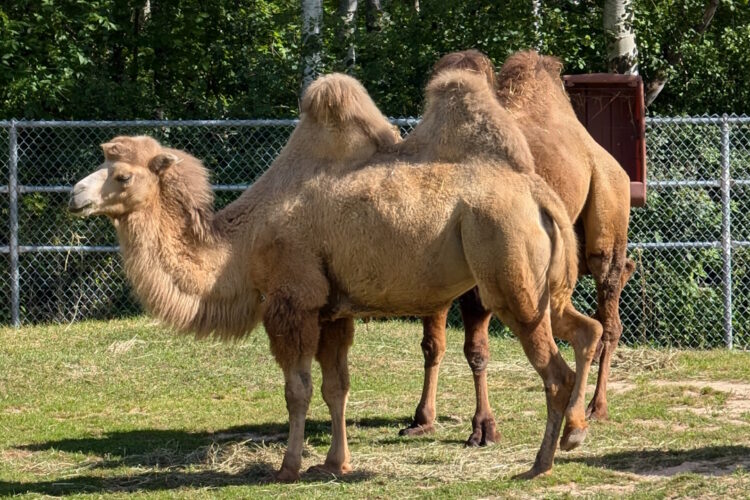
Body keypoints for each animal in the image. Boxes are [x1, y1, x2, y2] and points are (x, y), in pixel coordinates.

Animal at [67, 70, 604, 480]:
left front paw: (288, 467)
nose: (75, 195)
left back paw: (539, 464)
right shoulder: (332, 309)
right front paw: (335, 464)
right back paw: (576, 432)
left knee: (554, 369)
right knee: (586, 328)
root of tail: (538, 194)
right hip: (545, 285)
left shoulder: (292, 302)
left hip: (507, 275)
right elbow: (336, 387)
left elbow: (298, 389)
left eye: (123, 175)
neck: (241, 244)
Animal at [402, 47, 636, 446]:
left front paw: (484, 428)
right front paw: (422, 419)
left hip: (607, 208)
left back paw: (596, 408)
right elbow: (432, 344)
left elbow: (476, 350)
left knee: (609, 313)